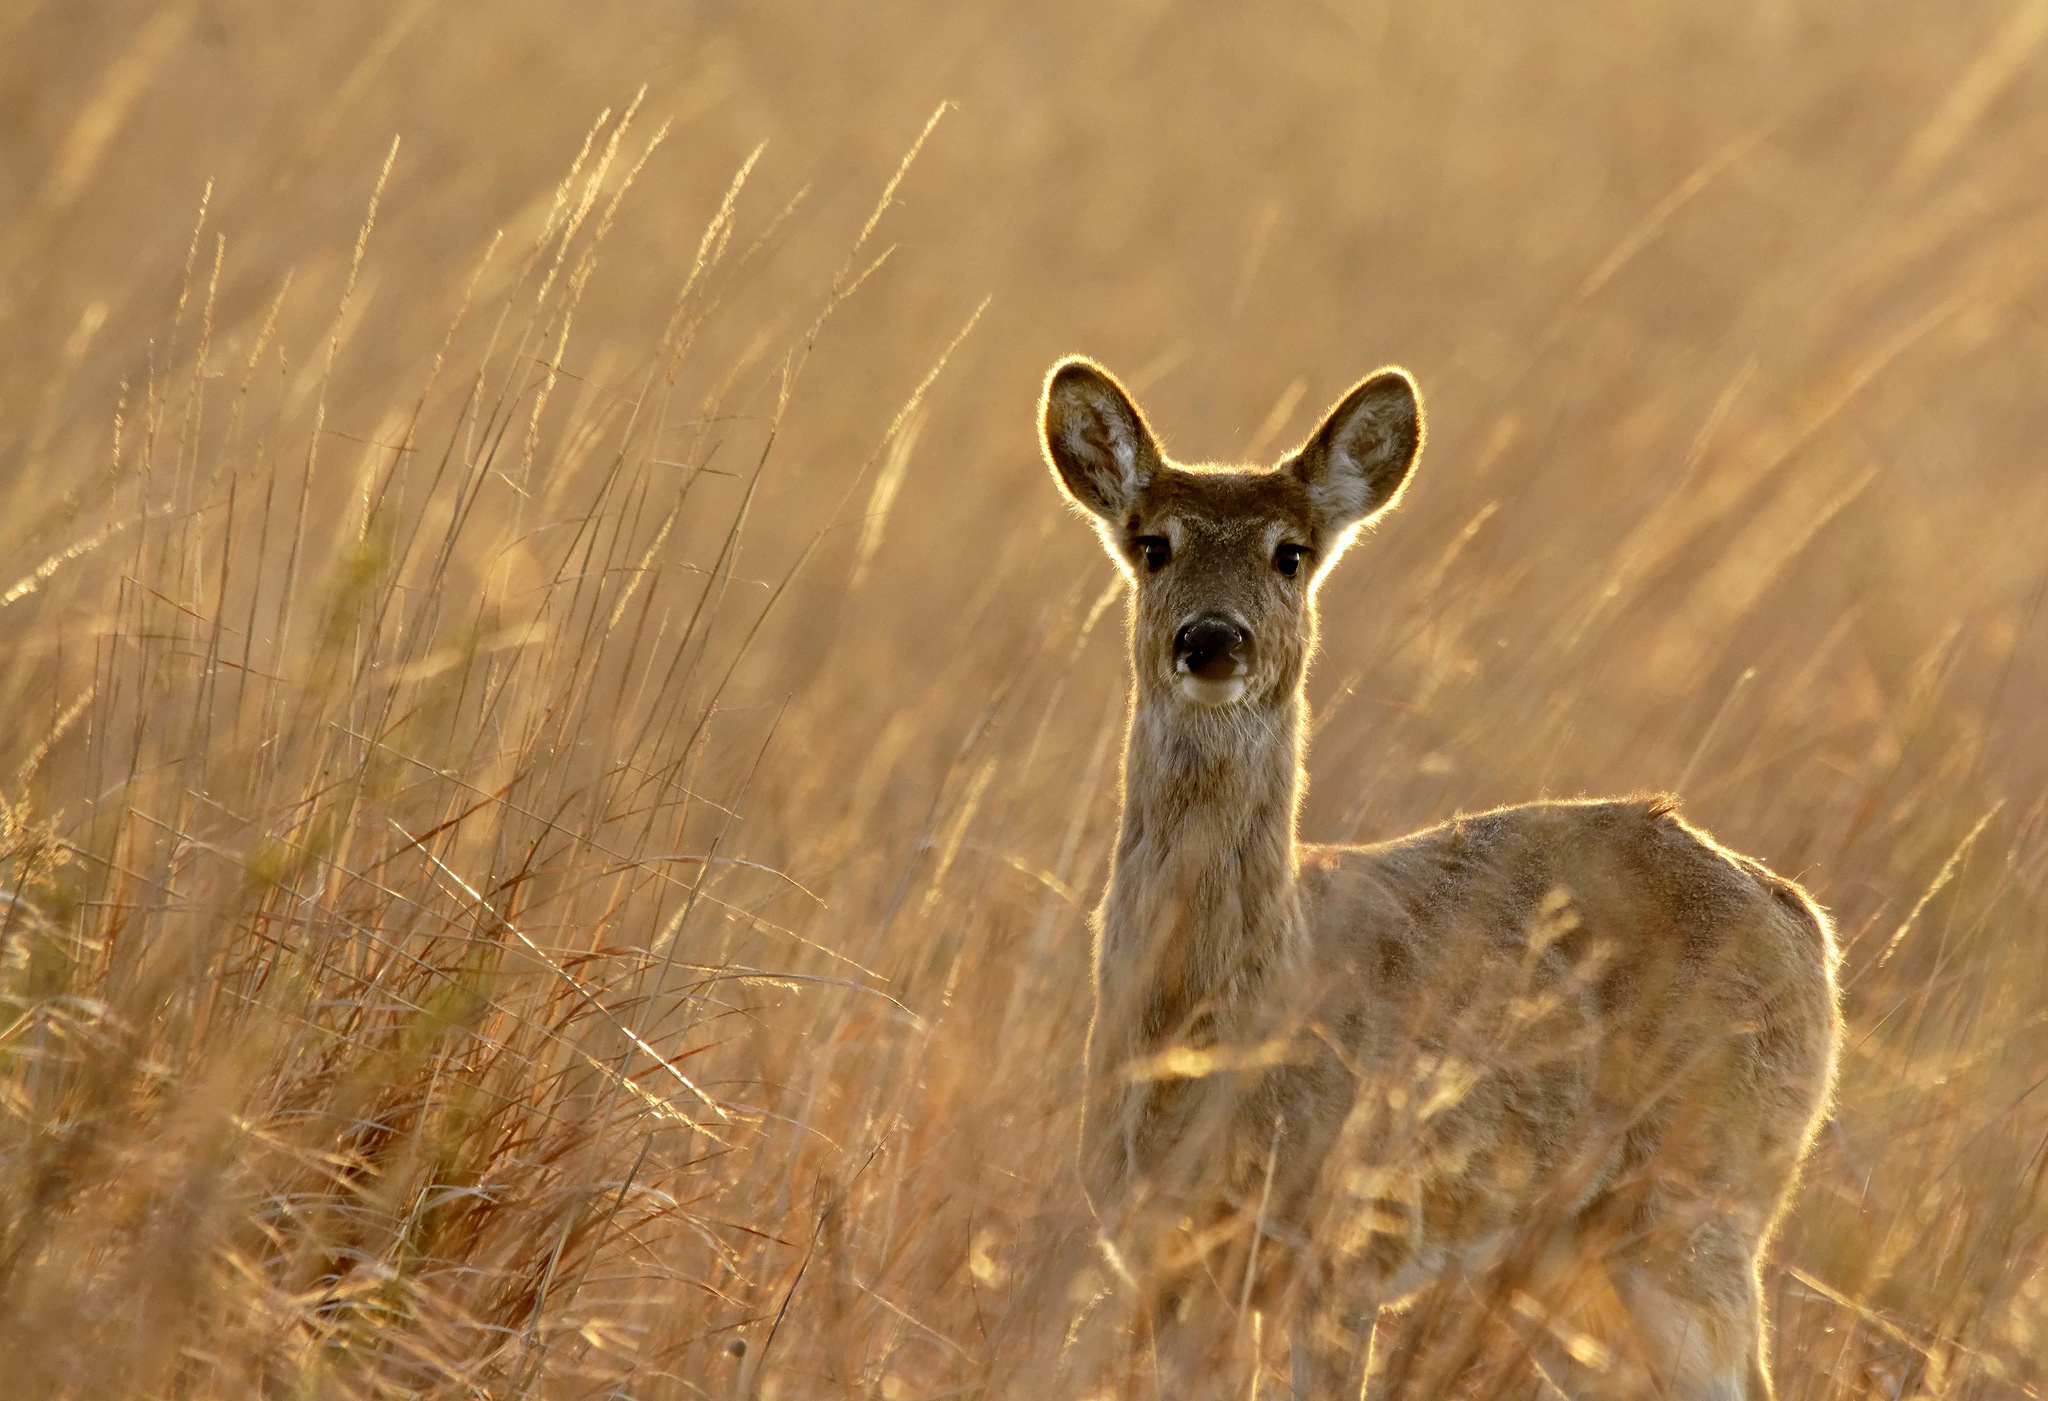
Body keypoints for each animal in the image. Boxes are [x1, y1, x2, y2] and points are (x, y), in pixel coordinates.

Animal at [1040, 358, 1843, 1401]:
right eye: (1153, 544)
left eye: (1290, 552)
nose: (1212, 640)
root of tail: (1804, 920)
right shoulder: (1164, 1257)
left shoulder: (1349, 1248)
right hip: (1568, 1264)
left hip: (1701, 1199)